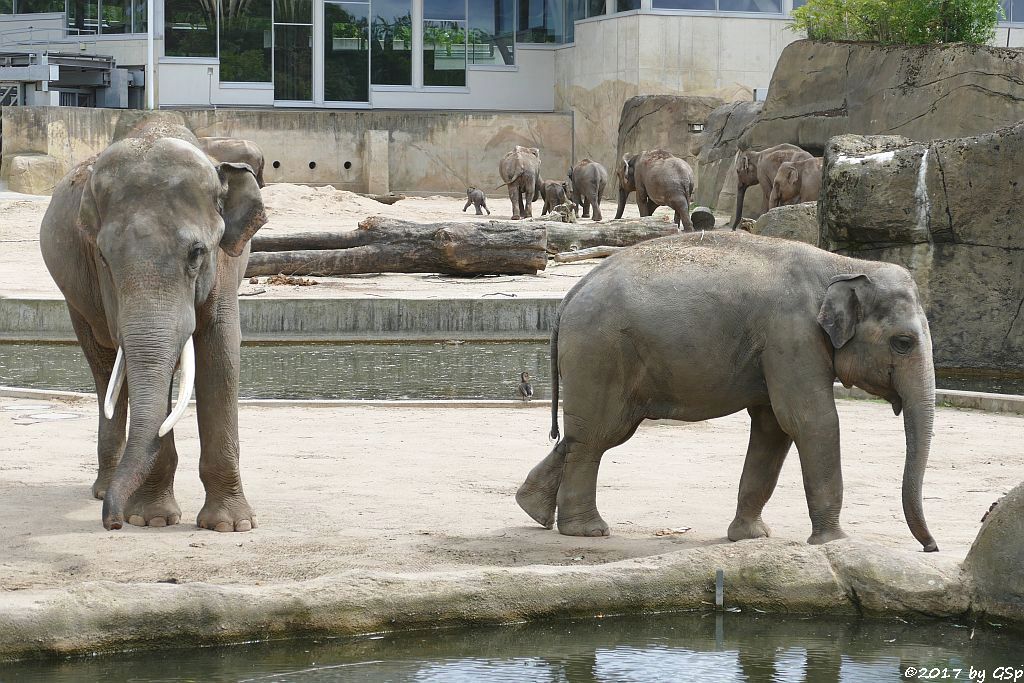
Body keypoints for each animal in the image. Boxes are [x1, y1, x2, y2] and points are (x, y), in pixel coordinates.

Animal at [40, 122, 268, 532]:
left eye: (197, 253)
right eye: (104, 257)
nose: (112, 522)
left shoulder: (226, 265)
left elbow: (220, 351)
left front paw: (230, 526)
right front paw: (152, 520)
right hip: (76, 301)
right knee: (104, 369)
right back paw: (106, 488)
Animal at [516, 232, 937, 552]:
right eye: (903, 343)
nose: (930, 547)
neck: (841, 265)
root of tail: (569, 296)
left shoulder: (780, 348)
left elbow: (773, 429)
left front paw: (750, 538)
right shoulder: (791, 335)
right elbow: (811, 422)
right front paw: (834, 542)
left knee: (585, 435)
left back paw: (533, 510)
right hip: (601, 353)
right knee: (596, 438)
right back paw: (588, 531)